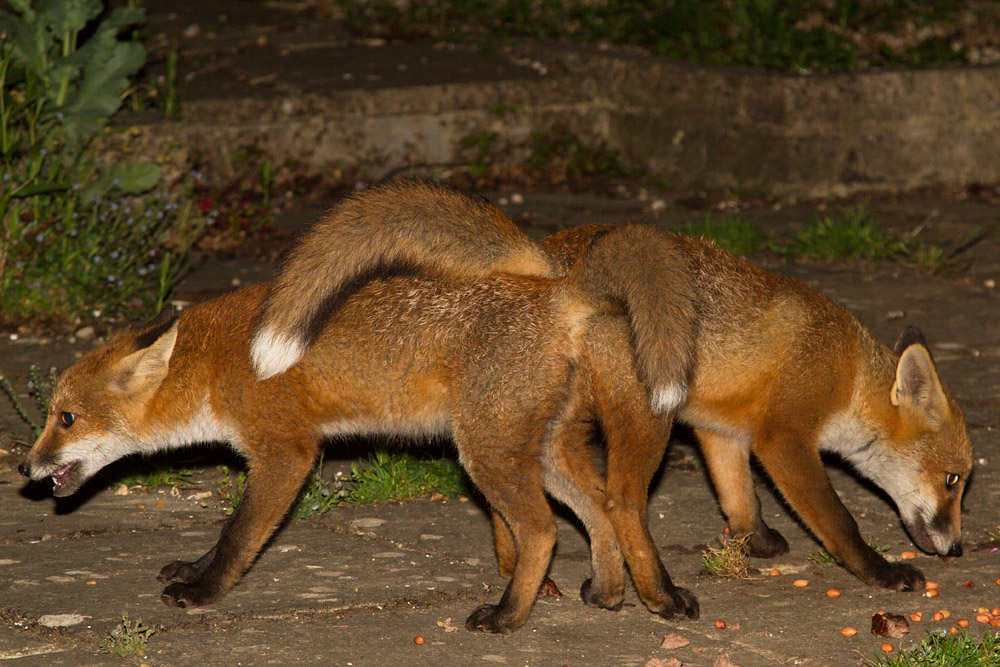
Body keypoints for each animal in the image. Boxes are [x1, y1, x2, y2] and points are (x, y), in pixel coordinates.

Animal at [17, 221, 701, 634]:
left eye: (66, 418)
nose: (23, 467)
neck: (212, 365)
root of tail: (555, 289)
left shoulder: (287, 453)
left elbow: (239, 537)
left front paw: (204, 592)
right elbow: (224, 535)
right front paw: (193, 569)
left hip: (486, 452)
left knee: (541, 532)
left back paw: (508, 616)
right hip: (541, 449)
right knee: (600, 507)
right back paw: (608, 592)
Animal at [251, 181, 973, 594]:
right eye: (954, 481)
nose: (961, 548)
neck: (846, 368)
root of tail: (555, 274)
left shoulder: (721, 429)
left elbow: (737, 495)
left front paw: (755, 539)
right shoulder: (784, 437)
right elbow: (838, 520)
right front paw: (881, 572)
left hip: (561, 415)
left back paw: (529, 571)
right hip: (638, 418)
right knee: (619, 499)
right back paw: (651, 594)